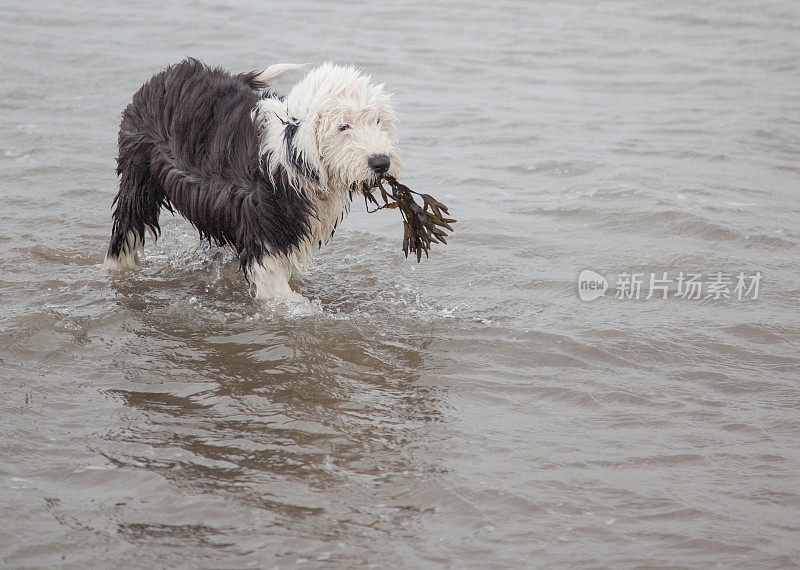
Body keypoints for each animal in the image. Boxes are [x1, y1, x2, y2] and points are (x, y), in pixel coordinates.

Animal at [105, 58, 400, 300]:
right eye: (343, 126)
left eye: (378, 121)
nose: (381, 162)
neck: (293, 151)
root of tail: (167, 74)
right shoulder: (262, 220)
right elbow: (273, 284)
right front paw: (296, 307)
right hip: (139, 175)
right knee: (127, 230)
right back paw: (118, 269)